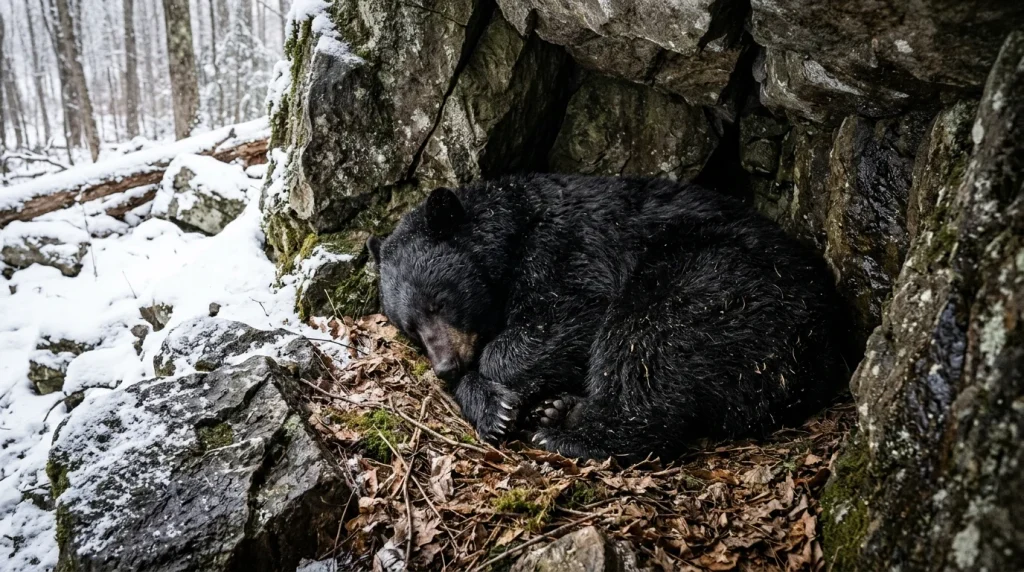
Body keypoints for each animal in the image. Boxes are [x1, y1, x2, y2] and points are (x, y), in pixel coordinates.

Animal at [368, 174, 848, 462]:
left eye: (439, 302)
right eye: (409, 328)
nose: (445, 365)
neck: (516, 230)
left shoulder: (566, 249)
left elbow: (568, 316)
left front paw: (499, 388)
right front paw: (493, 408)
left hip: (718, 283)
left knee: (647, 342)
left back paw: (571, 434)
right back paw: (559, 409)